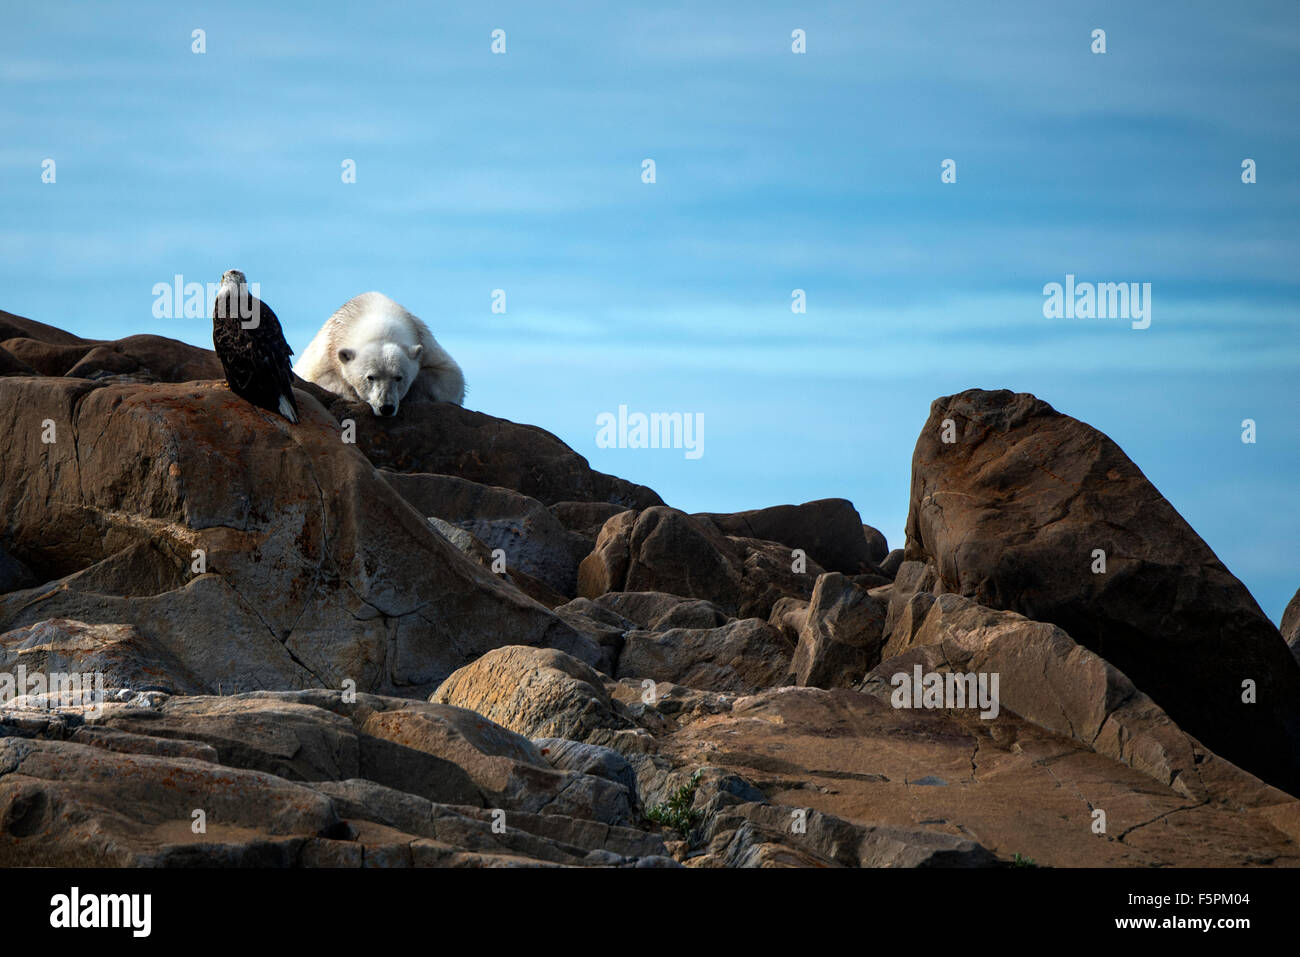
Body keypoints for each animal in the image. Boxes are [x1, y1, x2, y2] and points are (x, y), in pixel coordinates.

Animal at [292, 289, 465, 413]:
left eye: (399, 377)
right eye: (370, 377)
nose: (386, 408)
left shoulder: (423, 339)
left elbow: (451, 377)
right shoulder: (328, 349)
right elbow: (322, 379)